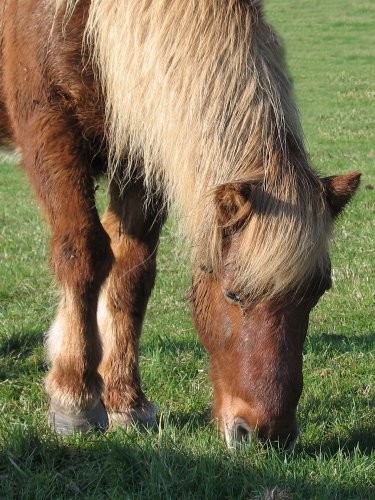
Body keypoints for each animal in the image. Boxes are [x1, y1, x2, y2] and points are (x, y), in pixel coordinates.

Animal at [0, 0, 362, 446]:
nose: (267, 435)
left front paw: (126, 402)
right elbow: (83, 253)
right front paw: (75, 398)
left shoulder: (141, 151)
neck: (87, 23)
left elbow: (131, 275)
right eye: (233, 295)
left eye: (317, 293)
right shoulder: (50, 132)